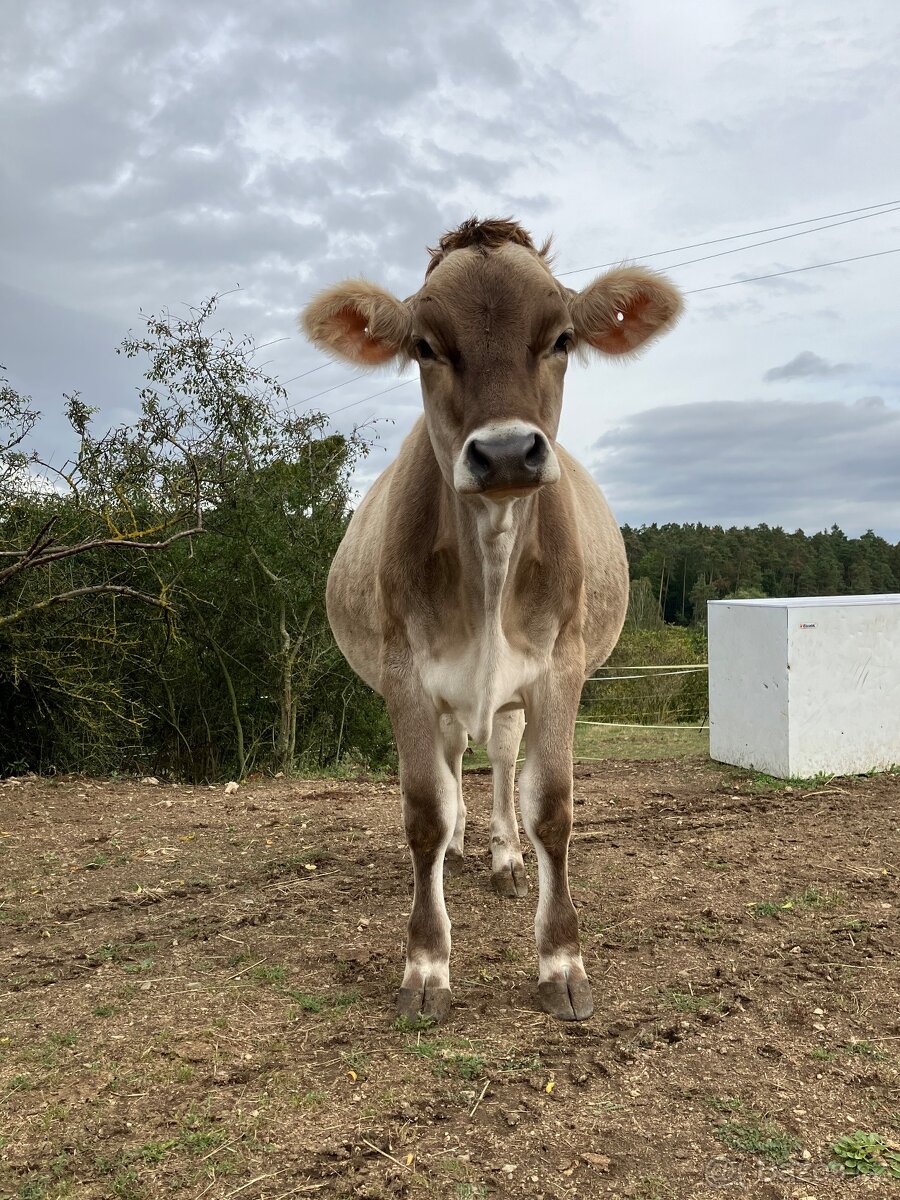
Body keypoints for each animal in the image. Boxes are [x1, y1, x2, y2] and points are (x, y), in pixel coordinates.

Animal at [303, 218, 681, 1022]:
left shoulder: (560, 667)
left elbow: (551, 807)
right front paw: (426, 966)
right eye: (425, 345)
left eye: (562, 337)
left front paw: (562, 961)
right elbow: (424, 810)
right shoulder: (406, 675)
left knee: (504, 762)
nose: (506, 451)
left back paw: (506, 856)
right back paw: (459, 848)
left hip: (513, 693)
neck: (491, 558)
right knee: (453, 772)